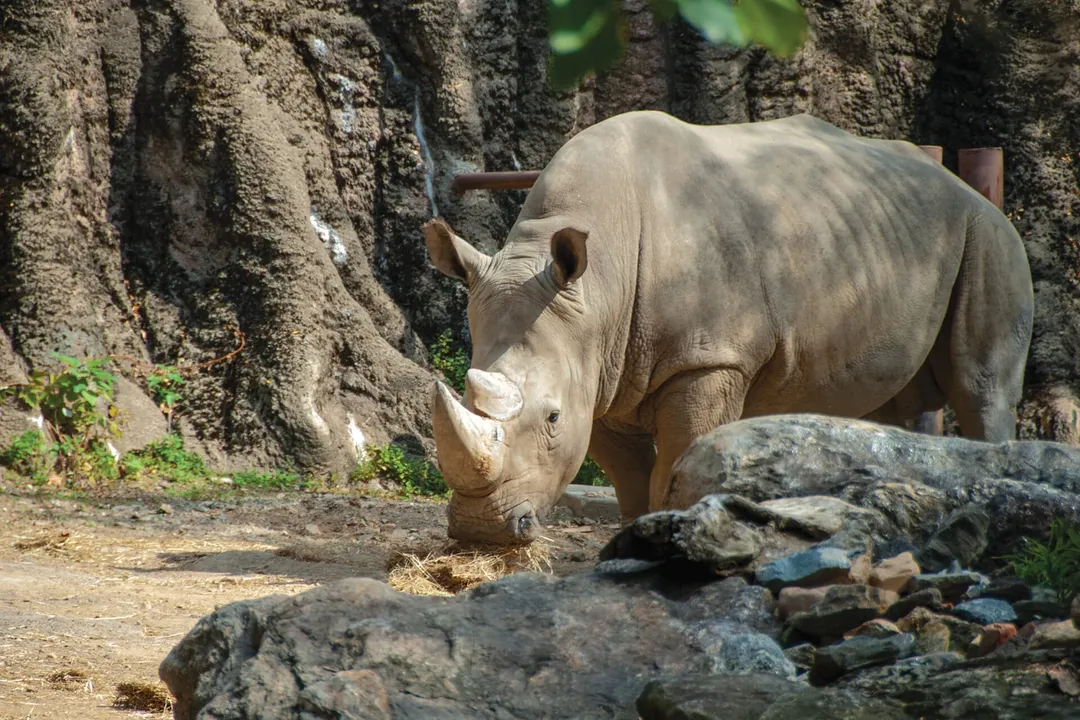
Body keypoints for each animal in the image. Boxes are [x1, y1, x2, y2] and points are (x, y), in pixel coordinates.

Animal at [422, 110, 1034, 545]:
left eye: (549, 418)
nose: (482, 530)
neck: (596, 292)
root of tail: (961, 184)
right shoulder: (597, 374)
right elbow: (629, 480)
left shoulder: (710, 359)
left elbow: (673, 467)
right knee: (888, 406)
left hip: (987, 234)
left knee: (981, 387)